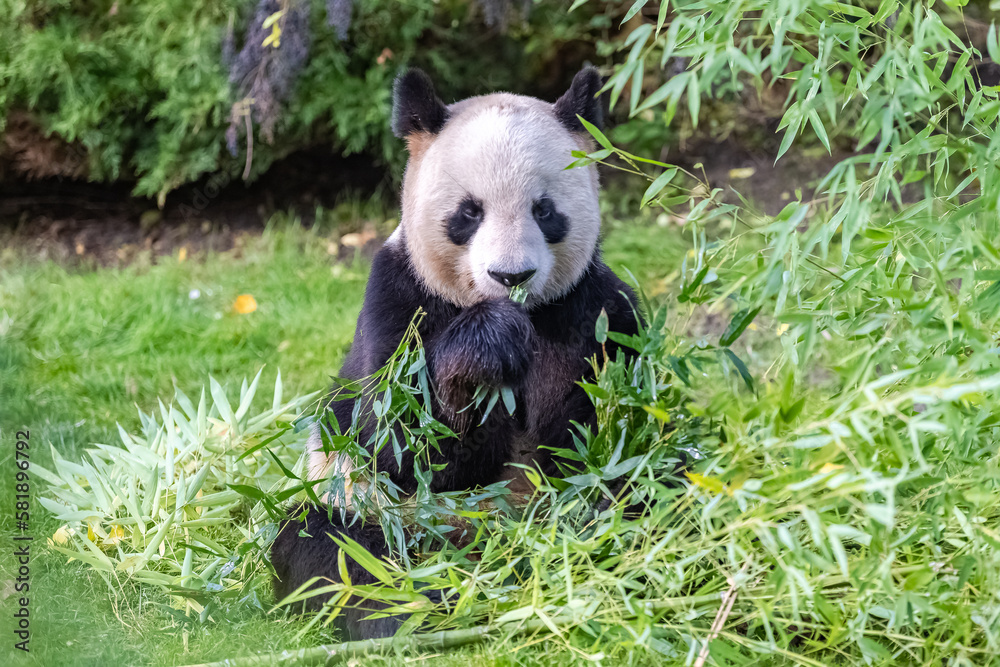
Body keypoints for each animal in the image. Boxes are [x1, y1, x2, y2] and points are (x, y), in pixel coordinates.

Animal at [270, 67, 641, 640]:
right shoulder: (398, 301)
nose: (511, 276)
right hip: (359, 501)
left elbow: (598, 436)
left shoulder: (598, 313)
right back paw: (408, 608)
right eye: (469, 212)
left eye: (544, 210)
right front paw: (487, 350)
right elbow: (397, 442)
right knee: (334, 546)